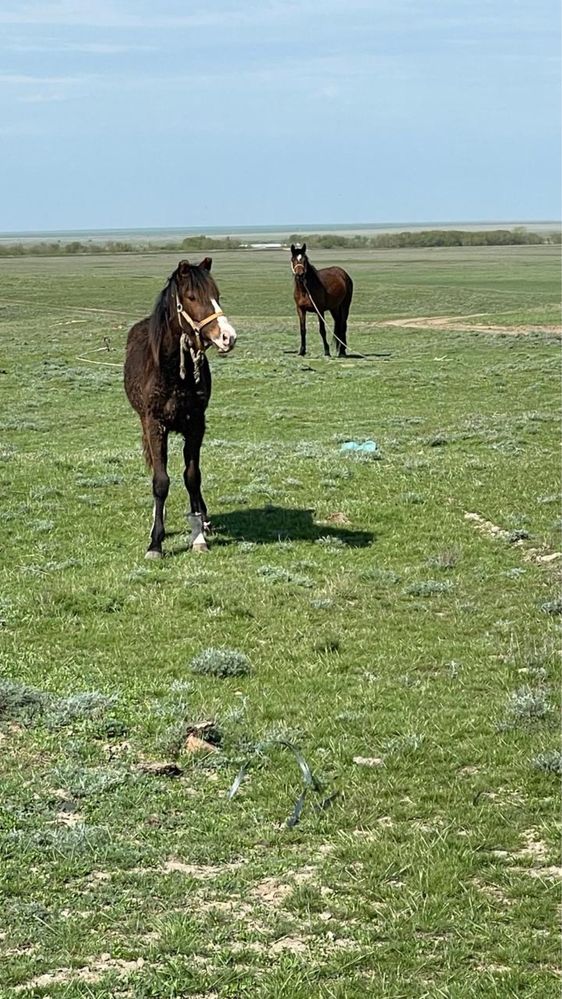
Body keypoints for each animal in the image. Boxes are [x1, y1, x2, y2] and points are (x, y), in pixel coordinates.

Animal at [123, 258, 235, 560]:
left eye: (217, 295)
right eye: (192, 297)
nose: (228, 337)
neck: (172, 370)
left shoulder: (195, 424)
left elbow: (192, 477)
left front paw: (198, 535)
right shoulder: (155, 425)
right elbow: (160, 481)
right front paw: (155, 541)